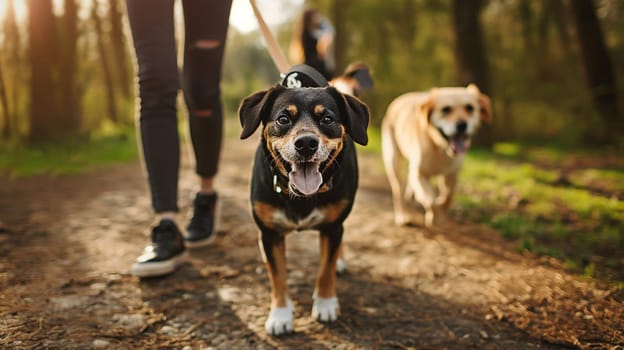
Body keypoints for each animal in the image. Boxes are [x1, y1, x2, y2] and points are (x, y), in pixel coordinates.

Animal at [238, 67, 366, 334]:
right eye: (283, 119)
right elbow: (277, 277)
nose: (306, 143)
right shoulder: (270, 233)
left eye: (327, 119)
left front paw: (326, 305)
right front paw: (280, 316)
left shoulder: (332, 227)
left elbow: (325, 269)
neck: (300, 196)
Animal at [380, 84, 492, 227]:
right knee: (398, 189)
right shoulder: (420, 174)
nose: (462, 124)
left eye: (469, 108)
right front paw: (435, 218)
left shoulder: (452, 174)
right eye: (446, 109)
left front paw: (441, 207)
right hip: (392, 159)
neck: (439, 147)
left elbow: (448, 195)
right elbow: (430, 200)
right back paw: (402, 216)